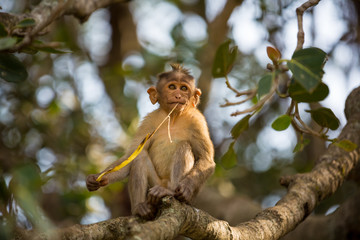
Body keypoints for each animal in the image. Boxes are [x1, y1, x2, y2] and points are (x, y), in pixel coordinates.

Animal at [86, 64, 214, 219]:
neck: (173, 118)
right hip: (154, 184)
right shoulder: (149, 121)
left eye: (184, 88)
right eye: (172, 87)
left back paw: (171, 192)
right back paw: (140, 208)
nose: (178, 95)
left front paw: (186, 188)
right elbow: (131, 156)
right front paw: (97, 178)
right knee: (139, 158)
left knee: (184, 146)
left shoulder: (197, 121)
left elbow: (206, 160)